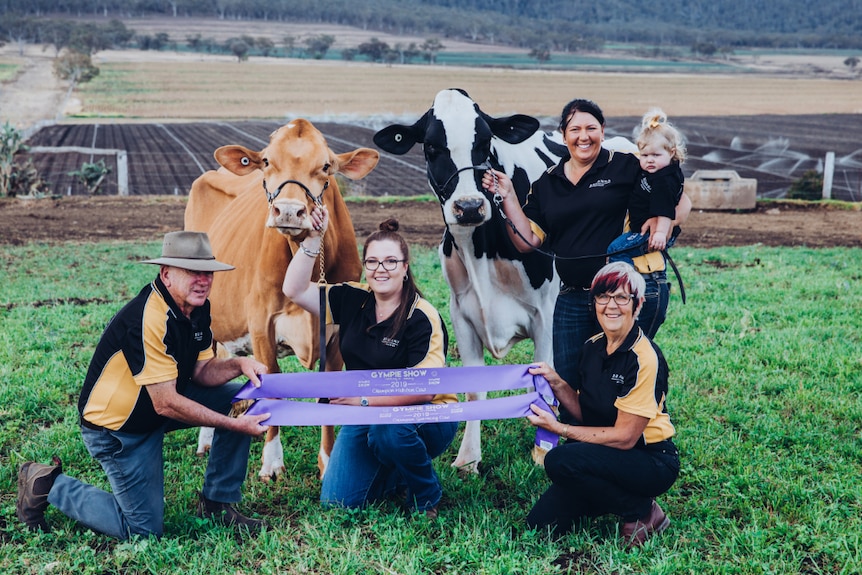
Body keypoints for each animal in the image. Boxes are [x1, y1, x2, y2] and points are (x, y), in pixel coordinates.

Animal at [186, 120, 378, 482]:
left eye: (326, 166)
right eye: (266, 161)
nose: (289, 210)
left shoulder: (337, 334)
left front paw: (327, 461)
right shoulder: (262, 324)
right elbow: (271, 386)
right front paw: (271, 463)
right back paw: (206, 440)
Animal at [372, 86, 568, 472]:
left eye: (486, 142)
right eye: (431, 147)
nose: (469, 207)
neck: (481, 252)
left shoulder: (547, 312)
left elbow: (544, 381)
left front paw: (543, 453)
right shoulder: (461, 314)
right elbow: (475, 389)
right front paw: (468, 459)